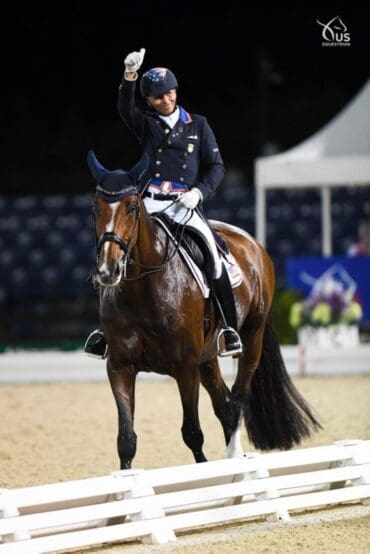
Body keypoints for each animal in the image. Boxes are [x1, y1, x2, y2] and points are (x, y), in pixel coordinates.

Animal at [87, 150, 320, 466]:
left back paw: (235, 456)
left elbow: (192, 433)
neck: (144, 290)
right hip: (207, 357)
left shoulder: (185, 368)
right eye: (95, 209)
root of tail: (252, 243)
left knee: (236, 400)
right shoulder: (120, 366)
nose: (108, 271)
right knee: (224, 404)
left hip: (251, 339)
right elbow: (126, 440)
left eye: (132, 208)